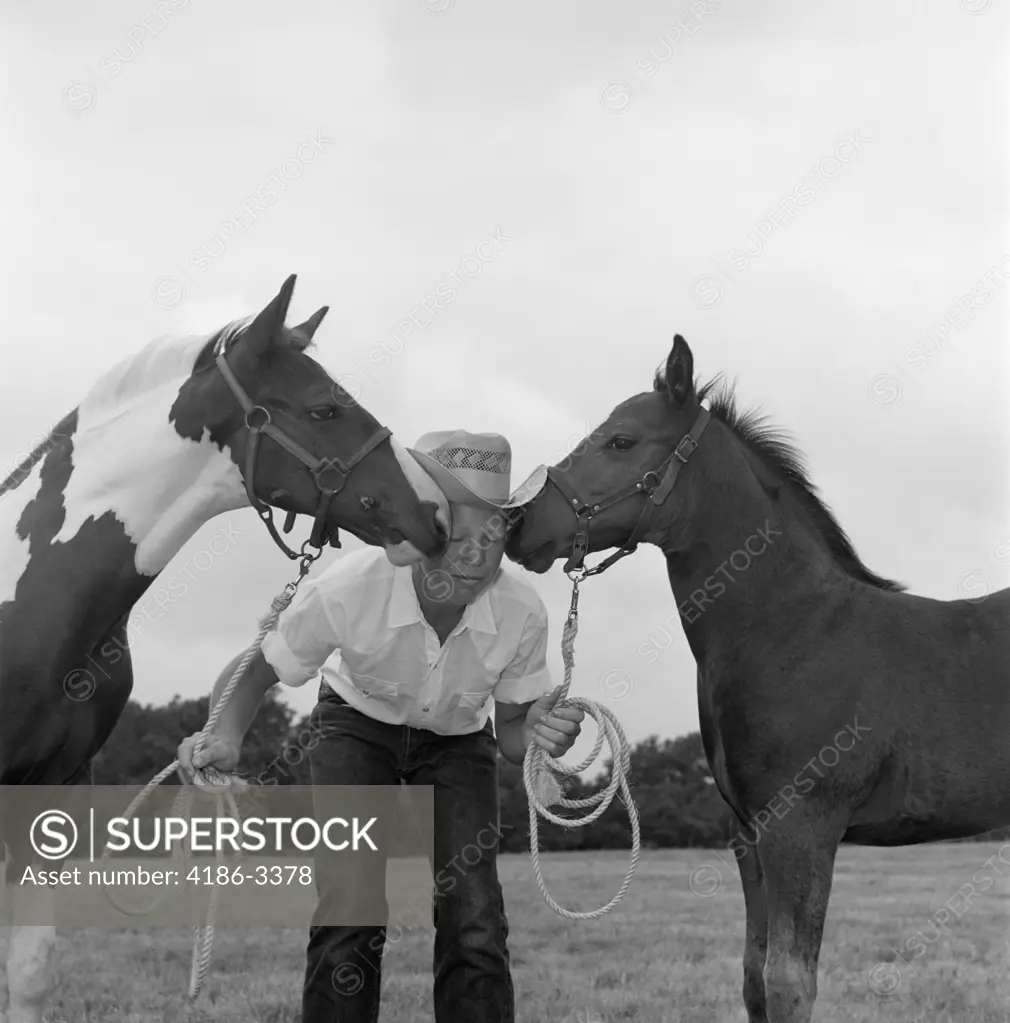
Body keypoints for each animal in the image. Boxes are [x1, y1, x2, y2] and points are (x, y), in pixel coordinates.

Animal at [505, 335, 1010, 1023]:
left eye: (621, 441)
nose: (518, 524)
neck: (794, 629)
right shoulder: (748, 833)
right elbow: (753, 976)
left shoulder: (800, 827)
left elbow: (789, 981)